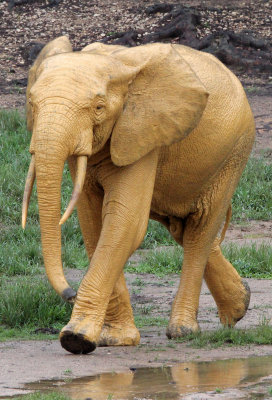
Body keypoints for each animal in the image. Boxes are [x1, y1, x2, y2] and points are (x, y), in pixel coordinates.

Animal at [21, 35, 255, 354]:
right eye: (32, 103)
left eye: (98, 107)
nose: (69, 293)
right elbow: (94, 224)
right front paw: (115, 340)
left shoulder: (141, 129)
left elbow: (125, 223)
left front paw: (76, 338)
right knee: (182, 229)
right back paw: (239, 305)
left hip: (234, 151)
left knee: (200, 230)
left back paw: (183, 331)